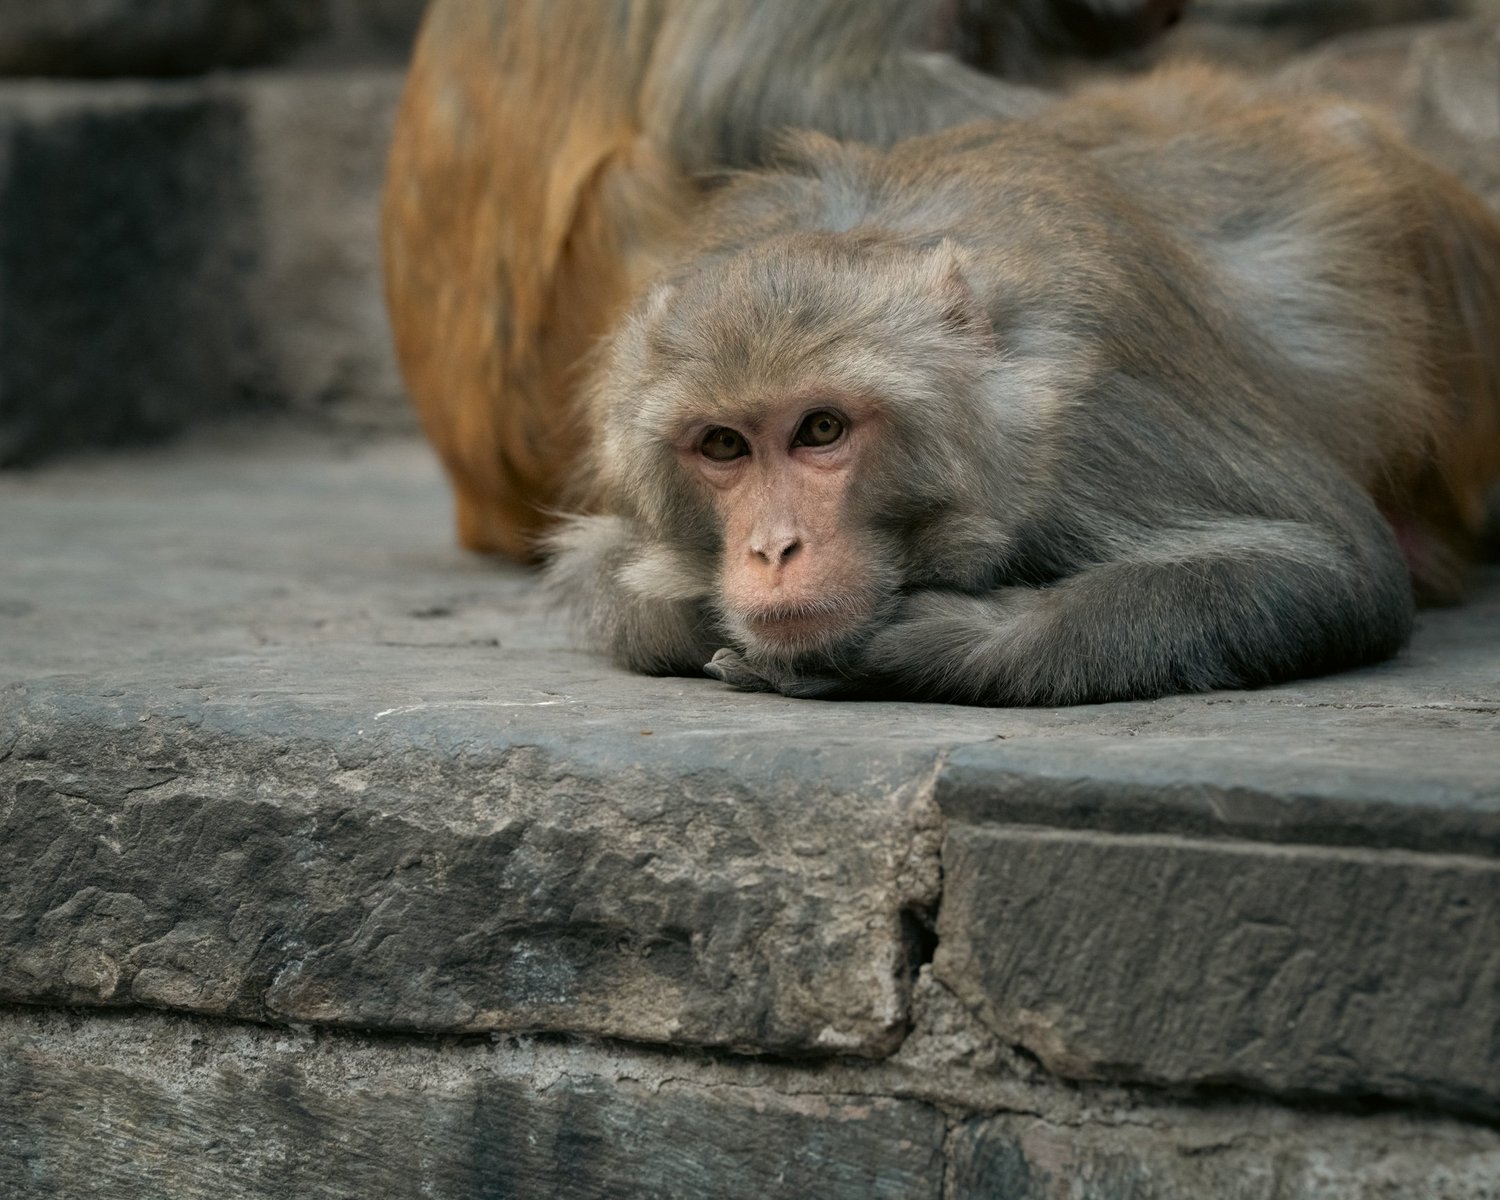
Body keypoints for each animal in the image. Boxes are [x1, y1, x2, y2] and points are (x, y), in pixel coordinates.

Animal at [542, 66, 1500, 706]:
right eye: (724, 445)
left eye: (819, 430)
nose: (773, 550)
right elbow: (607, 576)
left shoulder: (1099, 429)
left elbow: (1332, 568)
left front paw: (916, 645)